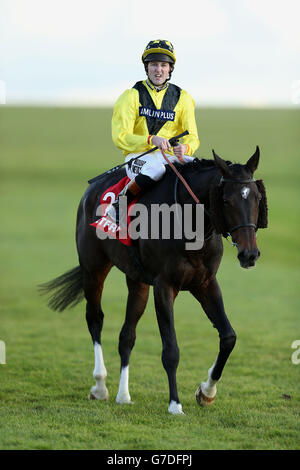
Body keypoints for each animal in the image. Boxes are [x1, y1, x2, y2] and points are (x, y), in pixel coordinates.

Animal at [39, 147, 268, 414]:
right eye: (226, 200)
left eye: (257, 198)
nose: (249, 254)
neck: (189, 225)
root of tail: (91, 189)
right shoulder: (164, 286)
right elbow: (171, 350)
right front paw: (175, 404)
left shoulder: (205, 283)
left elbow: (228, 337)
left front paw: (206, 392)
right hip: (93, 269)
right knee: (95, 319)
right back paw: (100, 386)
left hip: (136, 281)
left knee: (126, 336)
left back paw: (123, 395)